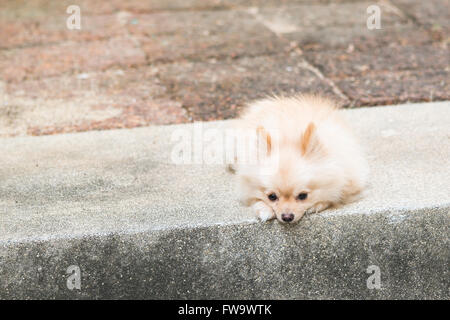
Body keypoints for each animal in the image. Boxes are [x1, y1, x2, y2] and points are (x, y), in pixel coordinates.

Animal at [232, 94, 370, 224]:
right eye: (272, 196)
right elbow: (254, 198)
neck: (287, 136)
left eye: (303, 196)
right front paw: (264, 209)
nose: (287, 217)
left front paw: (316, 205)